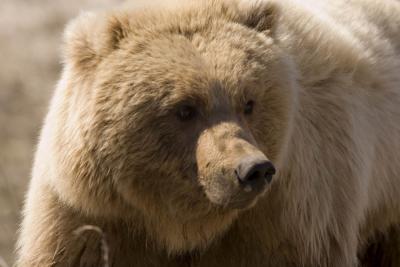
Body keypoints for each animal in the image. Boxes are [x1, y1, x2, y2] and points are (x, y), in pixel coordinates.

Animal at [15, 0, 400, 266]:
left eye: (248, 101)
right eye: (185, 108)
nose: (253, 169)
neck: (180, 225)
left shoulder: (290, 214)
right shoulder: (92, 215)